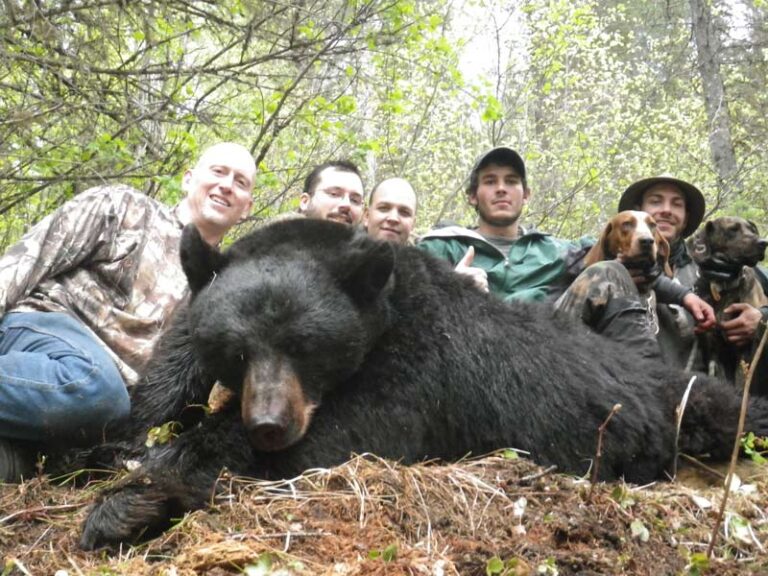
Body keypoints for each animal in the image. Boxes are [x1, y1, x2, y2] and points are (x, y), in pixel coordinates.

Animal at [688, 216, 764, 388]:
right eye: (732, 230)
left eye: (752, 230)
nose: (764, 242)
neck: (723, 284)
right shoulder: (712, 348)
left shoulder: (745, 345)